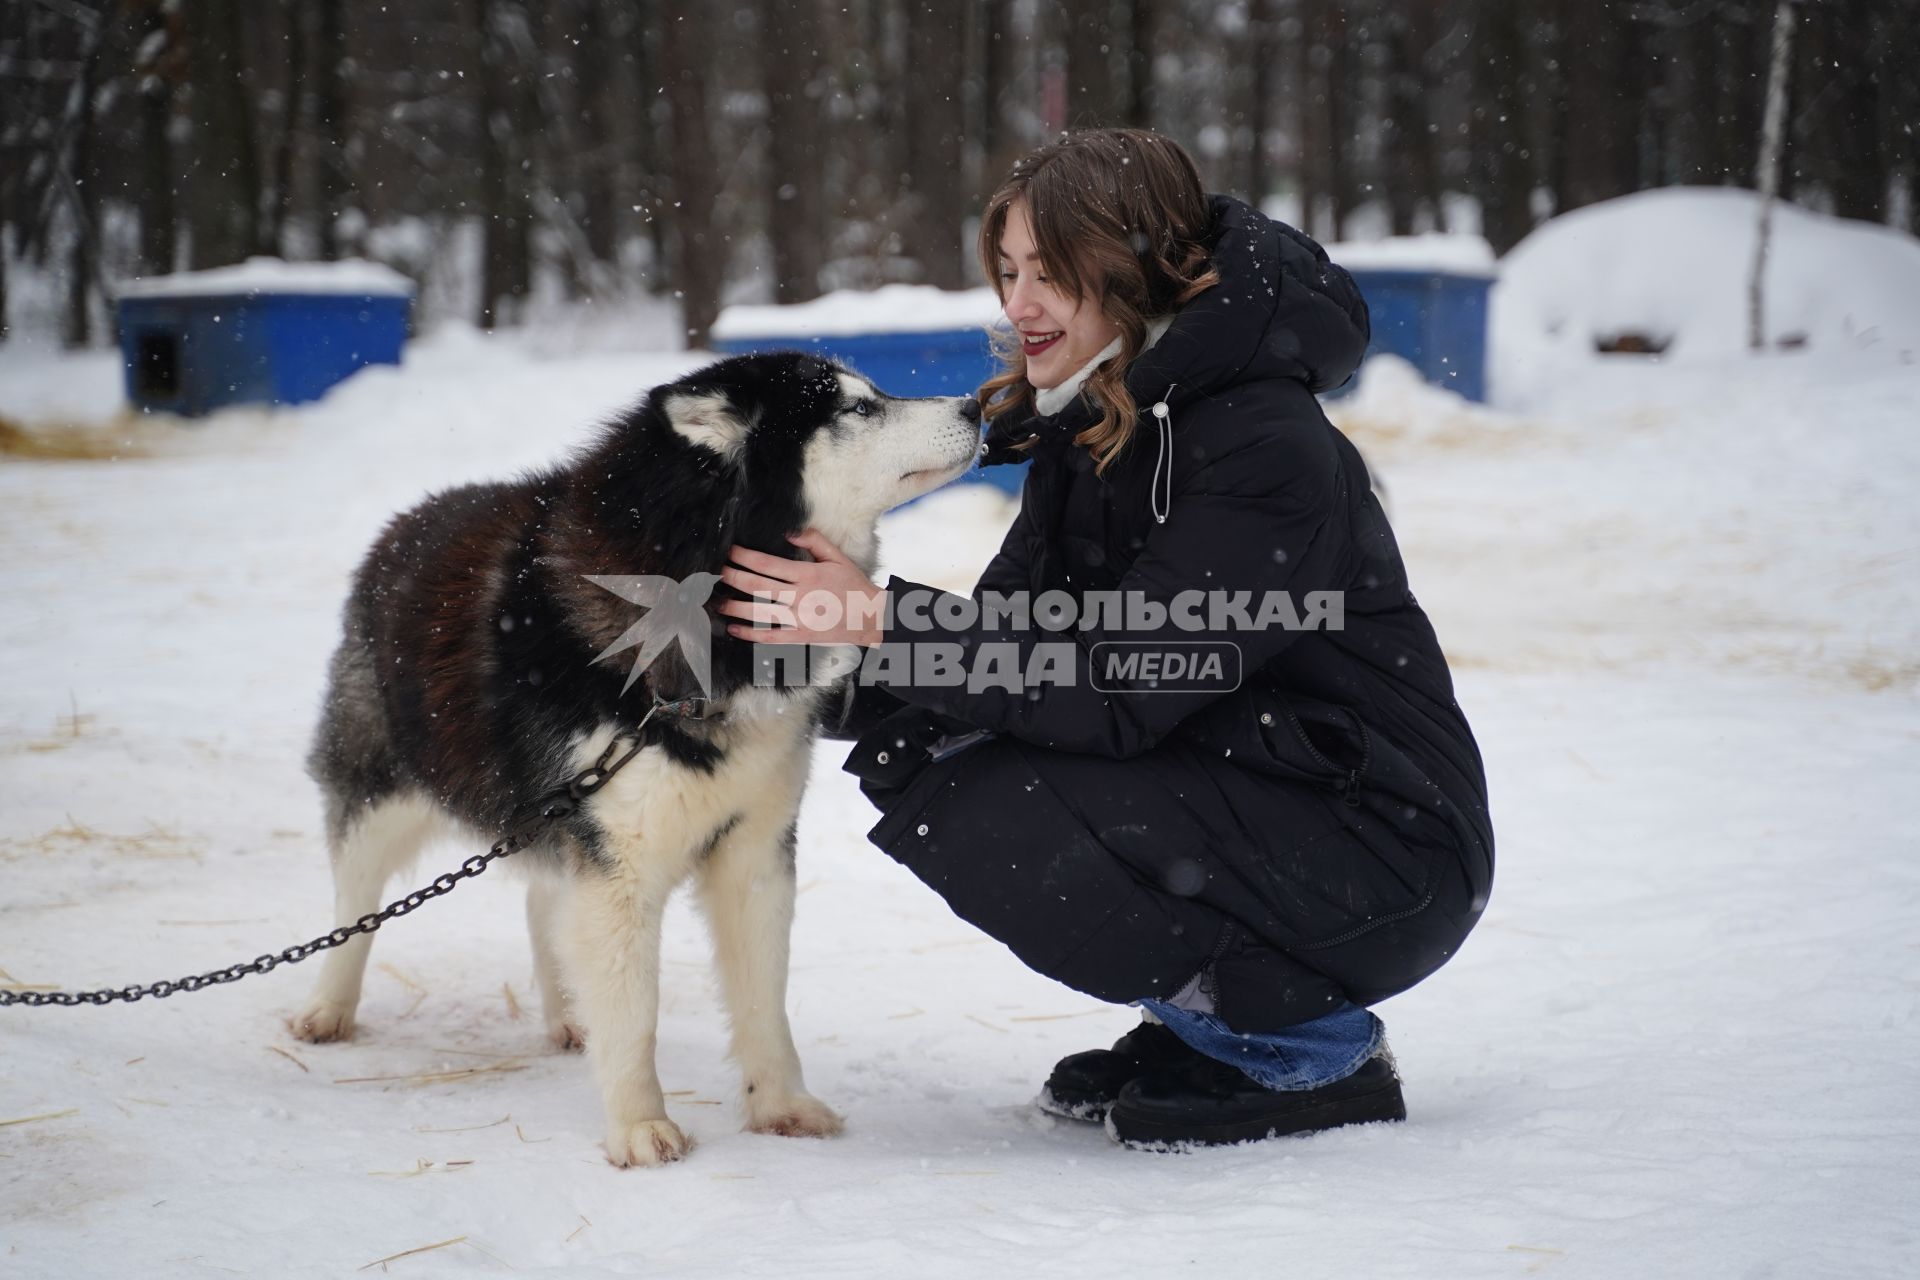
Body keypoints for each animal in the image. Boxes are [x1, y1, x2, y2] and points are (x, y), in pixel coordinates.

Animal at [291, 353, 983, 1174]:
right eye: (856, 409)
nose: (978, 405)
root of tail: (406, 522)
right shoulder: (619, 858)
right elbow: (636, 1007)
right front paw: (640, 1126)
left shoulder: (755, 851)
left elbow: (764, 997)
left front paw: (781, 1106)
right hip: (383, 791)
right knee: (355, 905)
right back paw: (328, 1008)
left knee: (545, 902)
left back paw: (568, 1013)